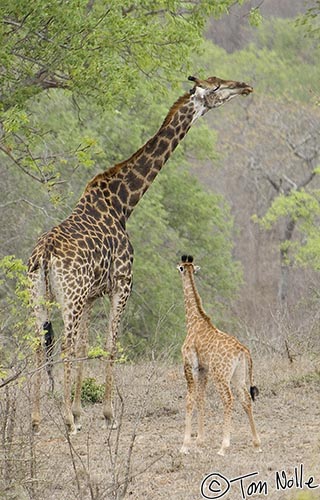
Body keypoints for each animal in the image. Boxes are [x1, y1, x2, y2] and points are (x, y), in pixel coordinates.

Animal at [28, 74, 252, 434]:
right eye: (216, 86)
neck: (123, 204)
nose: (245, 86)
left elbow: (85, 346)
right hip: (69, 297)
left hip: (41, 294)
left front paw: (79, 411)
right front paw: (106, 415)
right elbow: (109, 344)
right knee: (62, 344)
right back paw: (65, 422)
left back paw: (36, 420)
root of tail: (45, 253)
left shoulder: (92, 295)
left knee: (40, 342)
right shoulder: (122, 283)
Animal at [176, 256, 262, 456]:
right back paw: (256, 443)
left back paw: (224, 446)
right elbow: (201, 398)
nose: (177, 268)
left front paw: (185, 445)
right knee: (245, 399)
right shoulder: (203, 369)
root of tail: (243, 350)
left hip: (221, 376)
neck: (193, 321)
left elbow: (190, 399)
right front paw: (199, 441)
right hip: (238, 375)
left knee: (228, 399)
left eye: (181, 268)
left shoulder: (189, 365)